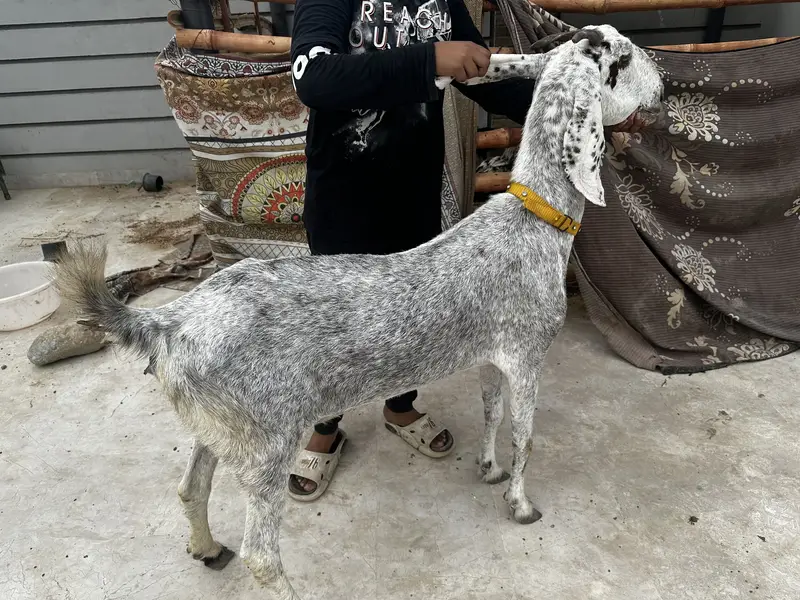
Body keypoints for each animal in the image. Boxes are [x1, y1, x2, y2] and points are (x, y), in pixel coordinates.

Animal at [56, 25, 663, 600]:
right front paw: (521, 505)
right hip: (267, 438)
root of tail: (166, 324)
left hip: (218, 426)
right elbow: (525, 436)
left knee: (190, 487)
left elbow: (492, 414)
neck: (534, 220)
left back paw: (206, 549)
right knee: (260, 554)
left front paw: (488, 472)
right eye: (623, 57)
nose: (662, 79)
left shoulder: (493, 355)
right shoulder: (529, 352)